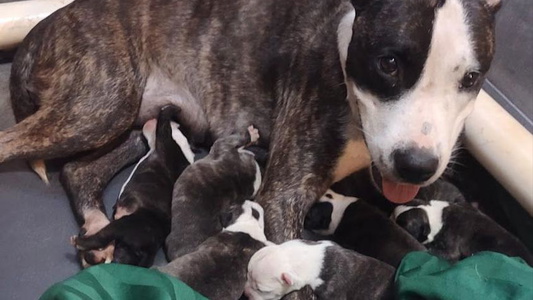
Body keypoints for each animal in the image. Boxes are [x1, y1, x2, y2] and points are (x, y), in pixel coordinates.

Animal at [71, 106, 194, 268]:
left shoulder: (164, 138)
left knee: (99, 238)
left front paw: (170, 109)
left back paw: (80, 242)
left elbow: (163, 120)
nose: (148, 120)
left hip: (120, 226)